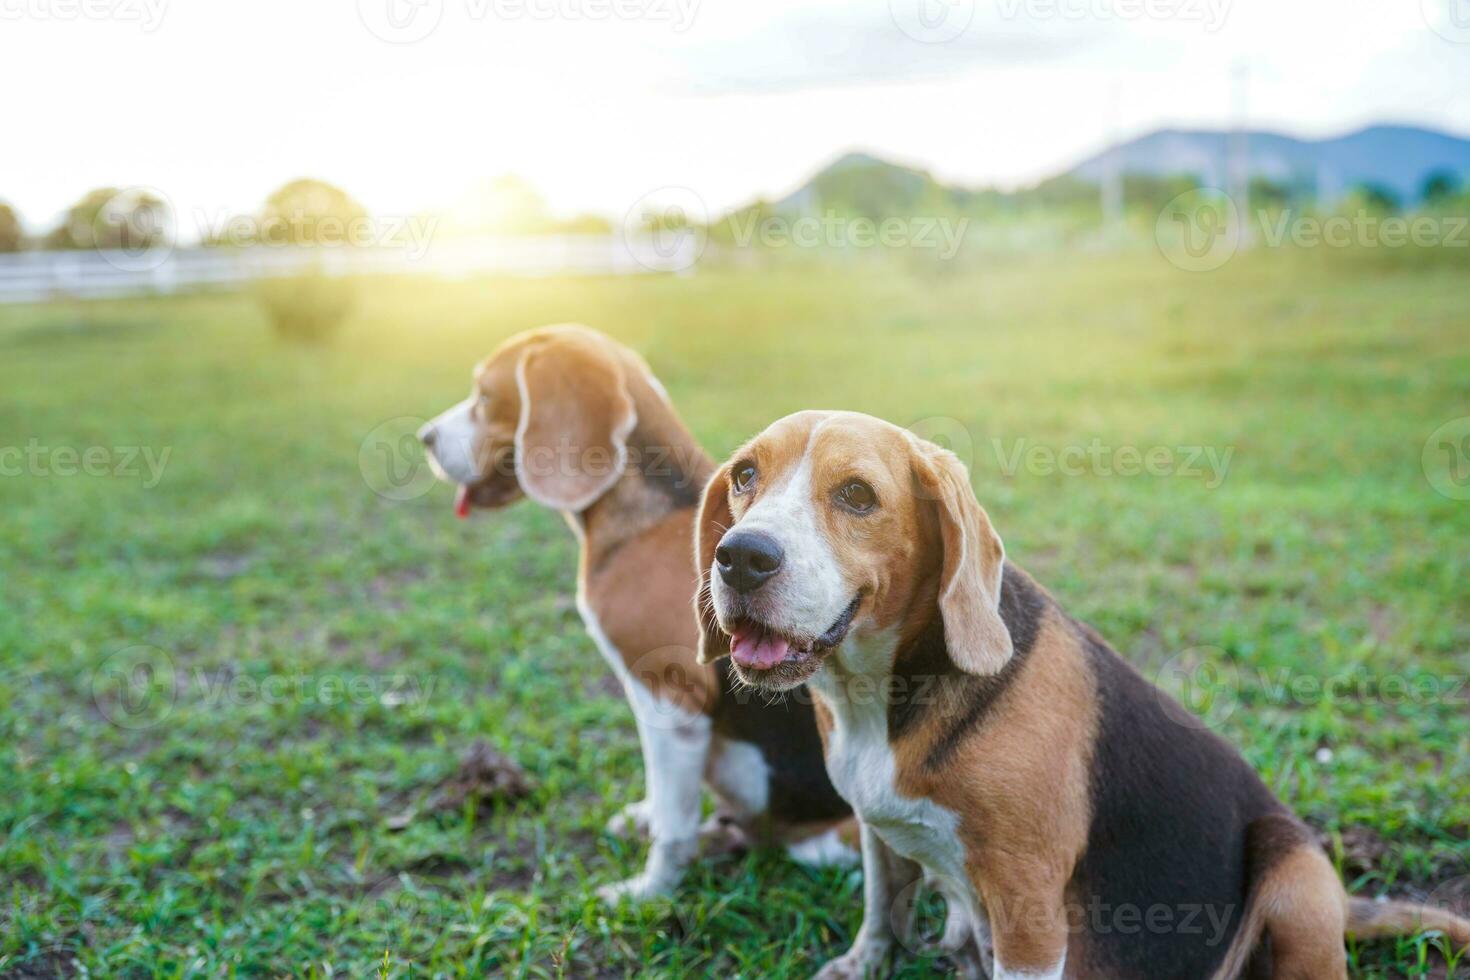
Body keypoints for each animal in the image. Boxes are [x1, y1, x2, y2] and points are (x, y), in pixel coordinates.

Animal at [417, 326, 852, 899]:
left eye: (485, 396)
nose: (424, 436)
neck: (652, 513)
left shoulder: (671, 698)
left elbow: (674, 822)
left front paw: (648, 892)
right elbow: (660, 792)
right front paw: (646, 819)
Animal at [690, 411, 1470, 980]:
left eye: (857, 495)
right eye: (745, 476)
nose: (740, 557)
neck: (876, 698)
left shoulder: (1028, 907)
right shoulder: (878, 830)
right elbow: (882, 911)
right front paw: (862, 965)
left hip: (1295, 875)